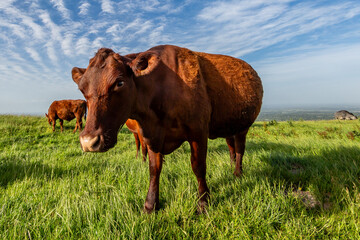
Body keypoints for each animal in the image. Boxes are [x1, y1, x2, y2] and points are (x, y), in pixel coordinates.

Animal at [72, 44, 264, 212]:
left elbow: (198, 166)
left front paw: (203, 203)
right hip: (228, 126)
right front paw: (150, 205)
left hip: (243, 126)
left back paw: (237, 172)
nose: (89, 141)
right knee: (231, 146)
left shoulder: (198, 132)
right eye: (82, 89)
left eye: (119, 83)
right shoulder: (152, 136)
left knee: (239, 149)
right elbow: (154, 169)